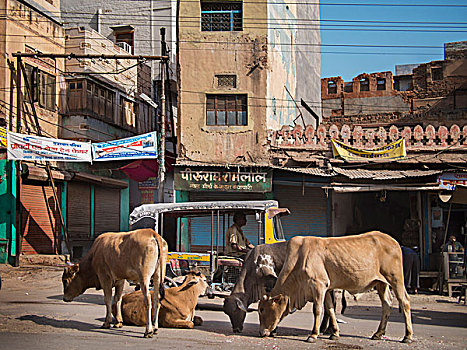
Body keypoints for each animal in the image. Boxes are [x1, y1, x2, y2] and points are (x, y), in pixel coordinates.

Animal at [258, 231, 414, 344]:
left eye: (262, 309)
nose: (261, 332)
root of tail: (393, 241)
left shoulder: (318, 285)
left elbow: (318, 310)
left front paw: (313, 335)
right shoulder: (327, 289)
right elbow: (330, 309)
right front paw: (334, 333)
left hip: (395, 279)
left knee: (404, 301)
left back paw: (407, 336)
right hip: (381, 283)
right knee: (387, 304)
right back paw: (378, 333)